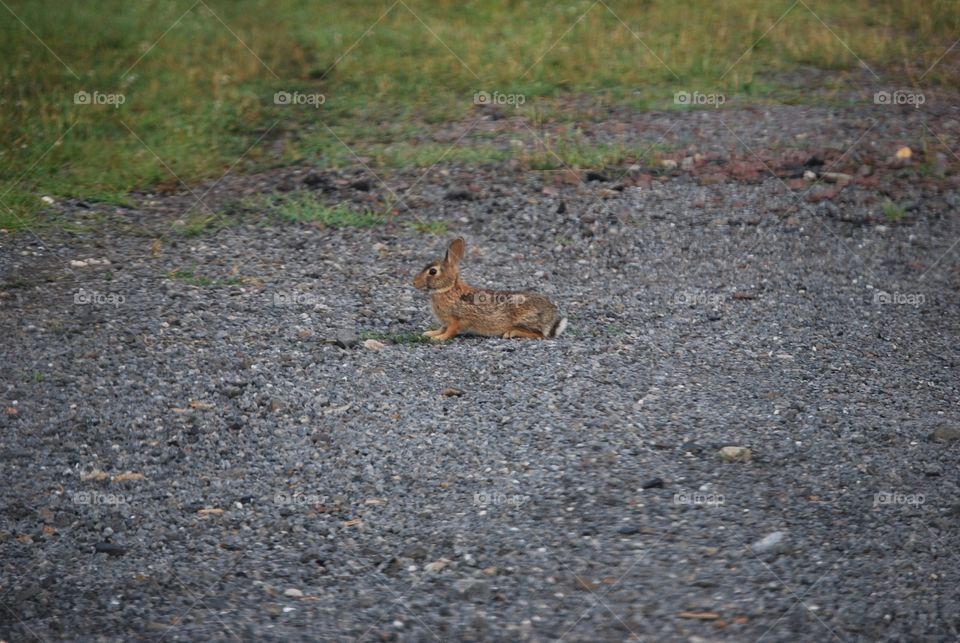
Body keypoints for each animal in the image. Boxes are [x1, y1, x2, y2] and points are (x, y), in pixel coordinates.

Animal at [412, 237, 567, 340]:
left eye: (433, 271)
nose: (414, 282)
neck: (448, 289)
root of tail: (552, 319)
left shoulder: (456, 320)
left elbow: (450, 331)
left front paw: (438, 338)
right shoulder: (445, 322)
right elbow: (441, 328)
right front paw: (430, 333)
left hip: (525, 319)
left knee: (539, 334)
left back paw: (511, 333)